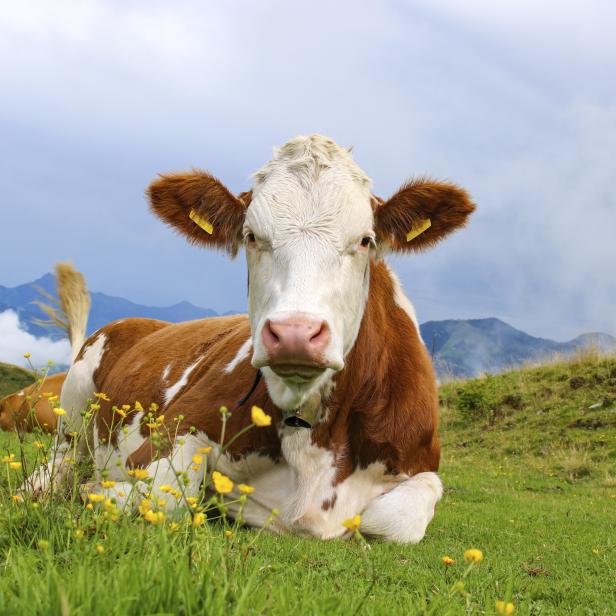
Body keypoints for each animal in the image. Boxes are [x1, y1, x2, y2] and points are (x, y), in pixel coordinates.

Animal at [25, 136, 476, 544]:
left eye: (366, 240)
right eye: (251, 236)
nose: (295, 333)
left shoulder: (422, 465)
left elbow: (393, 520)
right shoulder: (176, 427)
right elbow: (164, 496)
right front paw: (96, 491)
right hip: (75, 401)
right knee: (60, 458)